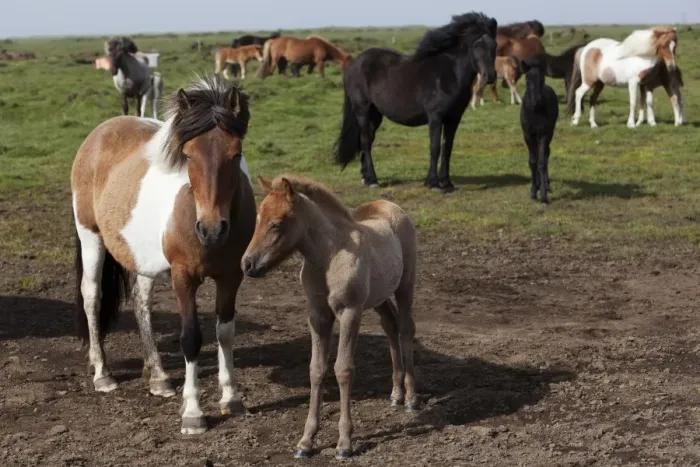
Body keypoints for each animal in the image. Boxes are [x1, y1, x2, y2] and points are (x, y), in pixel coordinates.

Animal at [71, 76, 256, 435]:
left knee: (141, 303)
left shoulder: (231, 276)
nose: (211, 229)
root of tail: (100, 132)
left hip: (141, 258)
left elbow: (225, 333)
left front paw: (232, 398)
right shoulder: (183, 277)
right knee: (92, 296)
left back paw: (157, 376)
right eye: (188, 155)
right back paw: (103, 374)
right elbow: (191, 338)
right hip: (90, 236)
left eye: (236, 153)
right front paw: (193, 413)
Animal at [241, 174, 417, 460]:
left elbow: (343, 369)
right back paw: (396, 394)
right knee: (390, 325)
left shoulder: (349, 312)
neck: (328, 257)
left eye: (276, 224)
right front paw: (305, 441)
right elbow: (316, 369)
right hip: (379, 296)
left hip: (405, 286)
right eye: (257, 219)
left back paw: (411, 398)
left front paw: (344, 443)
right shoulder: (318, 315)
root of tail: (390, 204)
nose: (247, 265)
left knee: (405, 329)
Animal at [334, 12, 497, 193]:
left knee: (368, 140)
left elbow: (447, 148)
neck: (449, 75)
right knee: (365, 141)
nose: (490, 76)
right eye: (476, 46)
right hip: (362, 109)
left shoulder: (454, 119)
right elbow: (435, 148)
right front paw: (433, 184)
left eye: (494, 45)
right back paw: (373, 181)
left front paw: (446, 182)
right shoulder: (435, 117)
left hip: (375, 114)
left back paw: (366, 178)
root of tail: (353, 64)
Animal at [520, 58, 559, 203]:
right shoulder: (528, 134)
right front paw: (533, 191)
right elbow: (532, 162)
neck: (535, 112)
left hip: (550, 132)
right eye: (527, 78)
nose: (536, 101)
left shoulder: (544, 134)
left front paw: (543, 195)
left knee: (546, 154)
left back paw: (546, 185)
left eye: (542, 79)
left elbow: (541, 162)